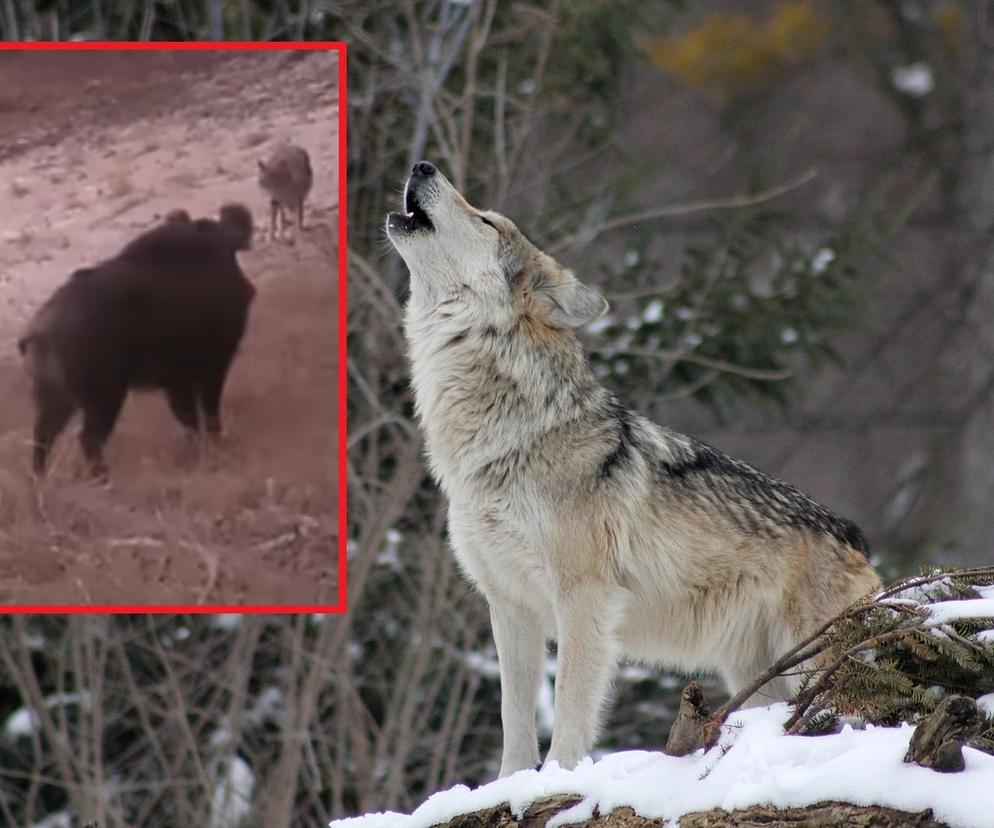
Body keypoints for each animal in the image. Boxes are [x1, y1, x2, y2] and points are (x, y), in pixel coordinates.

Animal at [18, 205, 256, 478]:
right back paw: (103, 479)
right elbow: (206, 412)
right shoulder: (211, 366)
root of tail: (41, 330)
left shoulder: (177, 381)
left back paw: (41, 479)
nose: (249, 290)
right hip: (104, 394)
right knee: (88, 438)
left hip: (55, 395)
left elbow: (188, 416)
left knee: (43, 436)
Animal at [384, 160, 880, 776]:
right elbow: (513, 720)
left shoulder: (584, 599)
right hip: (757, 676)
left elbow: (570, 708)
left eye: (487, 220)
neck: (507, 439)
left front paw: (557, 780)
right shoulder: (510, 606)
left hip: (813, 664)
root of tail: (856, 537)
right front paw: (510, 785)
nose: (422, 165)